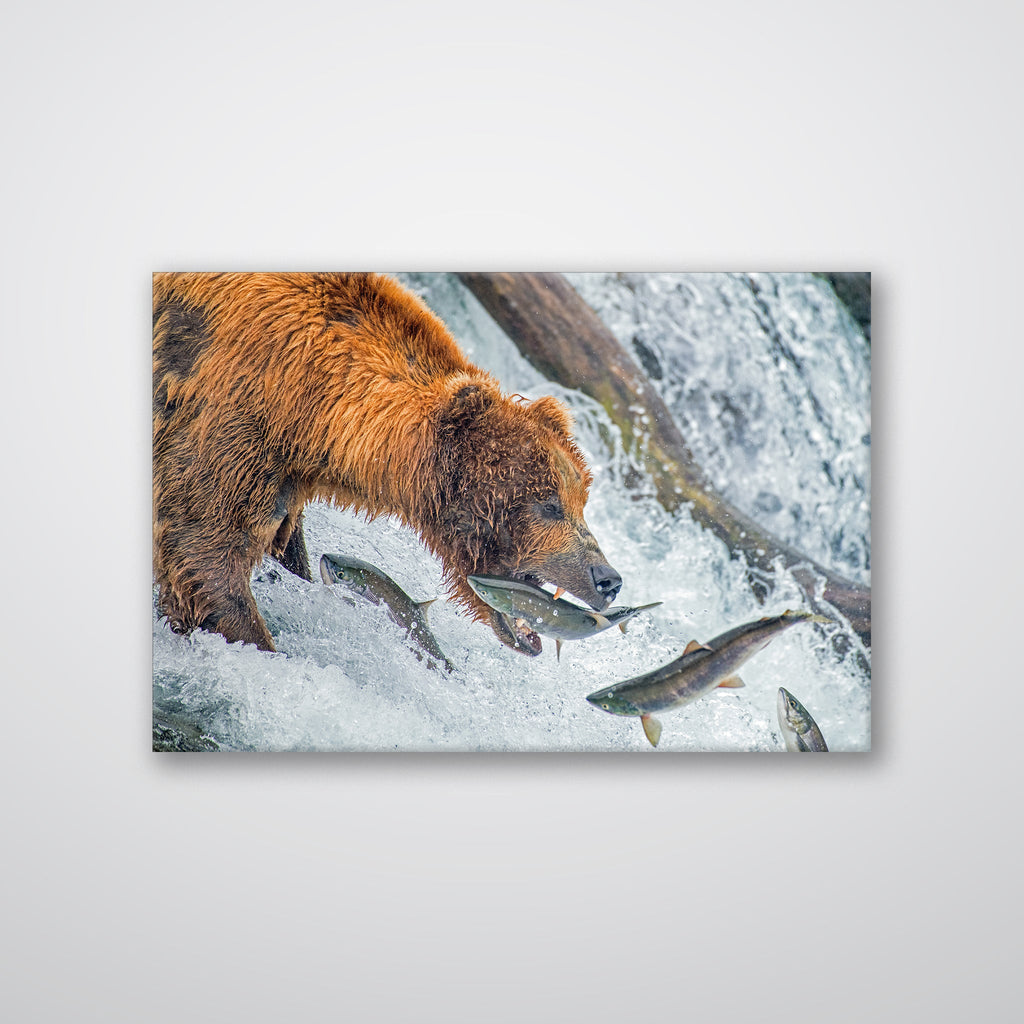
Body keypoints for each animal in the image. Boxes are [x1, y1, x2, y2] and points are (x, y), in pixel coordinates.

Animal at [153, 272, 621, 656]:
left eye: (580, 500)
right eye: (549, 505)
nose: (608, 578)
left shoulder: (284, 474)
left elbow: (281, 548)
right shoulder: (231, 415)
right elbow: (202, 552)